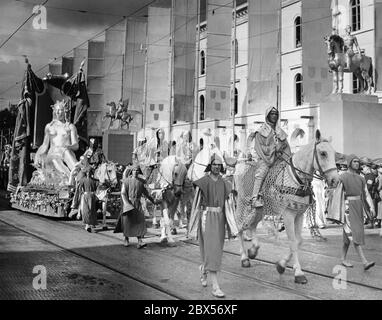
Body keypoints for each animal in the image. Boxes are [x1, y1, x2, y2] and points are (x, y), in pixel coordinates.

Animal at [237, 130, 338, 284]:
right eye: (323, 153)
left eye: (334, 153)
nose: (335, 180)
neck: (297, 179)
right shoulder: (288, 214)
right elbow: (293, 241)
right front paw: (299, 273)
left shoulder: (299, 214)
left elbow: (299, 241)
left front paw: (281, 265)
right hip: (243, 205)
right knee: (240, 227)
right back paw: (244, 258)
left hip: (259, 210)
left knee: (252, 225)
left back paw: (253, 250)